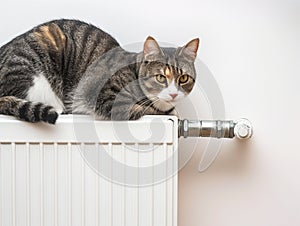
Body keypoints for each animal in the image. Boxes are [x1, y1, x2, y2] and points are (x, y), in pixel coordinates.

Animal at [0, 19, 199, 123]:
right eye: (160, 77)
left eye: (183, 78)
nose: (173, 94)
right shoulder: (109, 101)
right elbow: (142, 109)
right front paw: (170, 112)